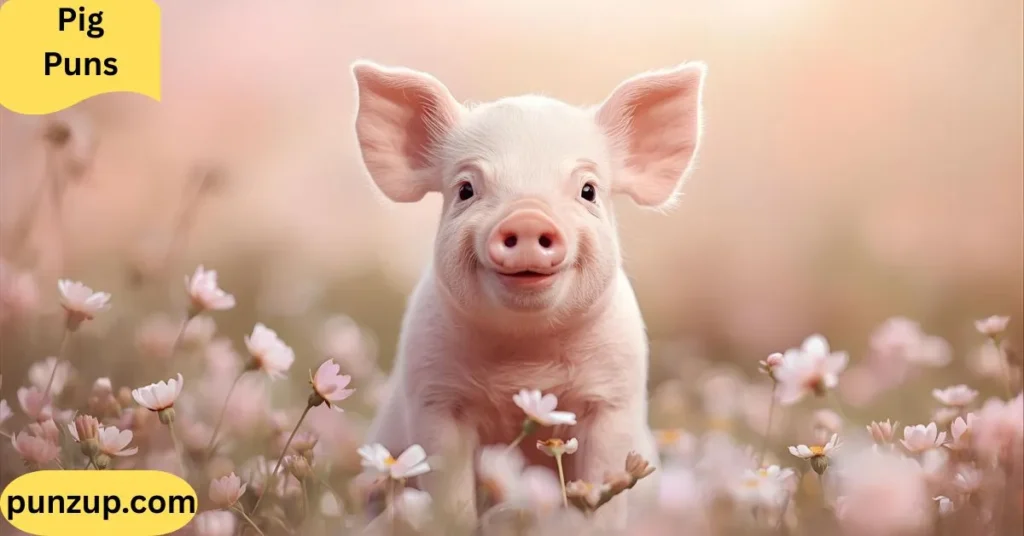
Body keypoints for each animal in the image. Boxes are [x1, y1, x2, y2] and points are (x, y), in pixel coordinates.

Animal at [351, 59, 706, 531]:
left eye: (588, 190)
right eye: (466, 189)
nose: (527, 216)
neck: (525, 359)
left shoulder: (613, 397)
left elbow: (604, 485)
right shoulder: (435, 395)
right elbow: (451, 492)